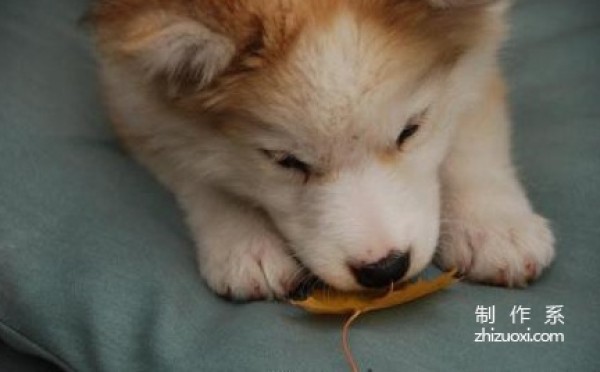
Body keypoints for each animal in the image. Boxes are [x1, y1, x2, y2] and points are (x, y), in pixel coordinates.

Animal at [91, 0, 556, 300]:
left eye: (410, 130)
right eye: (286, 162)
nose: (384, 269)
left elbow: (471, 122)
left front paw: (493, 224)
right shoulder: (126, 88)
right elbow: (187, 158)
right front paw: (243, 238)